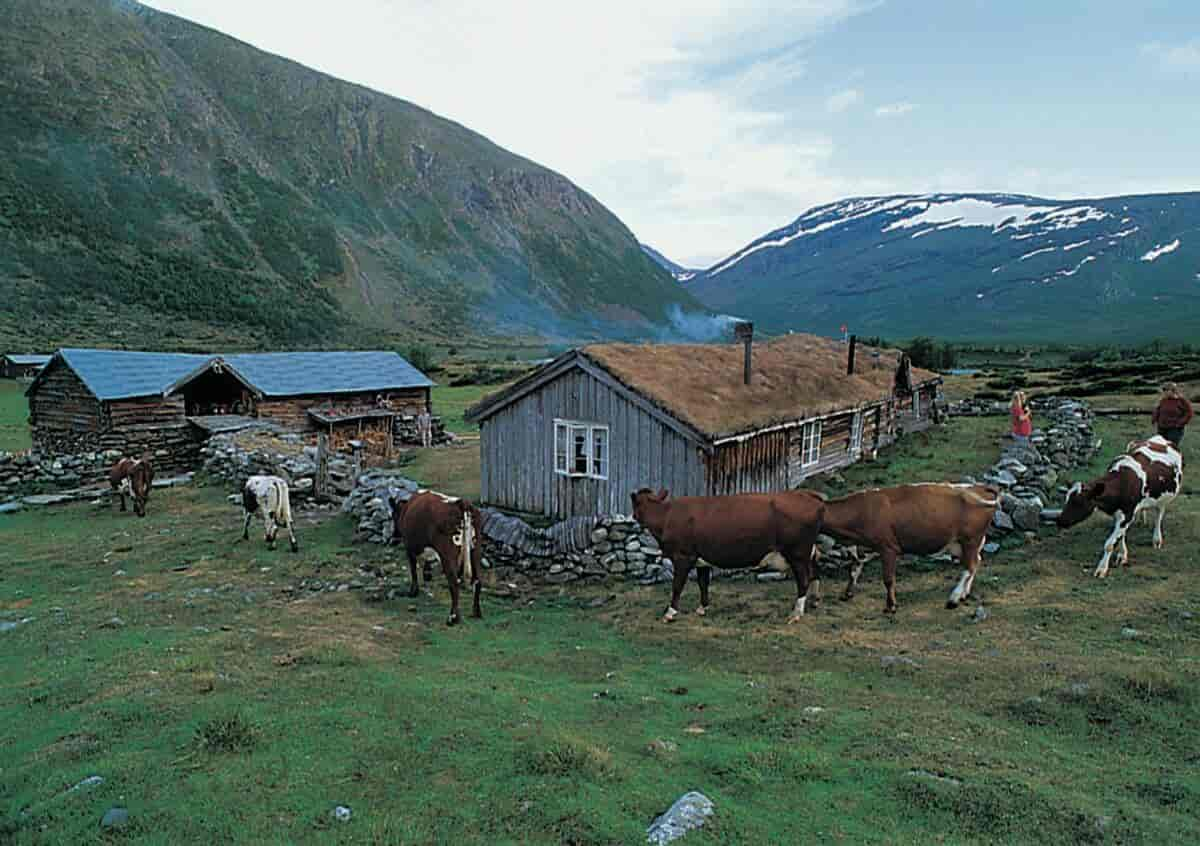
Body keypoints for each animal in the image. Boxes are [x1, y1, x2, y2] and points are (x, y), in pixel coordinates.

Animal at [396, 492, 484, 624]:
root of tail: (462, 503)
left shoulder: (409, 547)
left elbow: (413, 569)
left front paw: (413, 591)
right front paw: (427, 575)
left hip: (447, 555)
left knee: (454, 583)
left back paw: (452, 617)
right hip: (475, 549)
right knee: (477, 580)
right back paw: (476, 612)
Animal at [628, 489, 825, 619]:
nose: (632, 517)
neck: (666, 516)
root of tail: (807, 495)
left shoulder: (683, 556)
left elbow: (677, 586)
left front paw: (670, 612)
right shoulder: (701, 560)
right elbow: (703, 584)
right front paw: (702, 608)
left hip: (797, 553)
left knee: (804, 579)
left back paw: (796, 613)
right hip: (808, 552)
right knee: (815, 573)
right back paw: (814, 601)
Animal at [820, 482, 998, 614]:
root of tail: (979, 488)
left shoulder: (888, 548)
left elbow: (888, 579)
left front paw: (891, 606)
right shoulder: (862, 549)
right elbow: (853, 571)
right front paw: (847, 593)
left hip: (970, 539)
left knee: (970, 567)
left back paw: (953, 599)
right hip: (961, 544)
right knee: (975, 562)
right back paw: (964, 594)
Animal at [1060, 432, 1180, 578]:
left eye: (1078, 502)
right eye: (1066, 498)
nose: (1060, 521)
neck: (1122, 483)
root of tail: (1159, 438)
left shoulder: (1126, 515)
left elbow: (1109, 544)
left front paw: (1102, 569)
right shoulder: (1119, 514)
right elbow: (1121, 536)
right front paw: (1122, 556)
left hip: (1164, 497)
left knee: (1159, 515)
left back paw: (1157, 539)